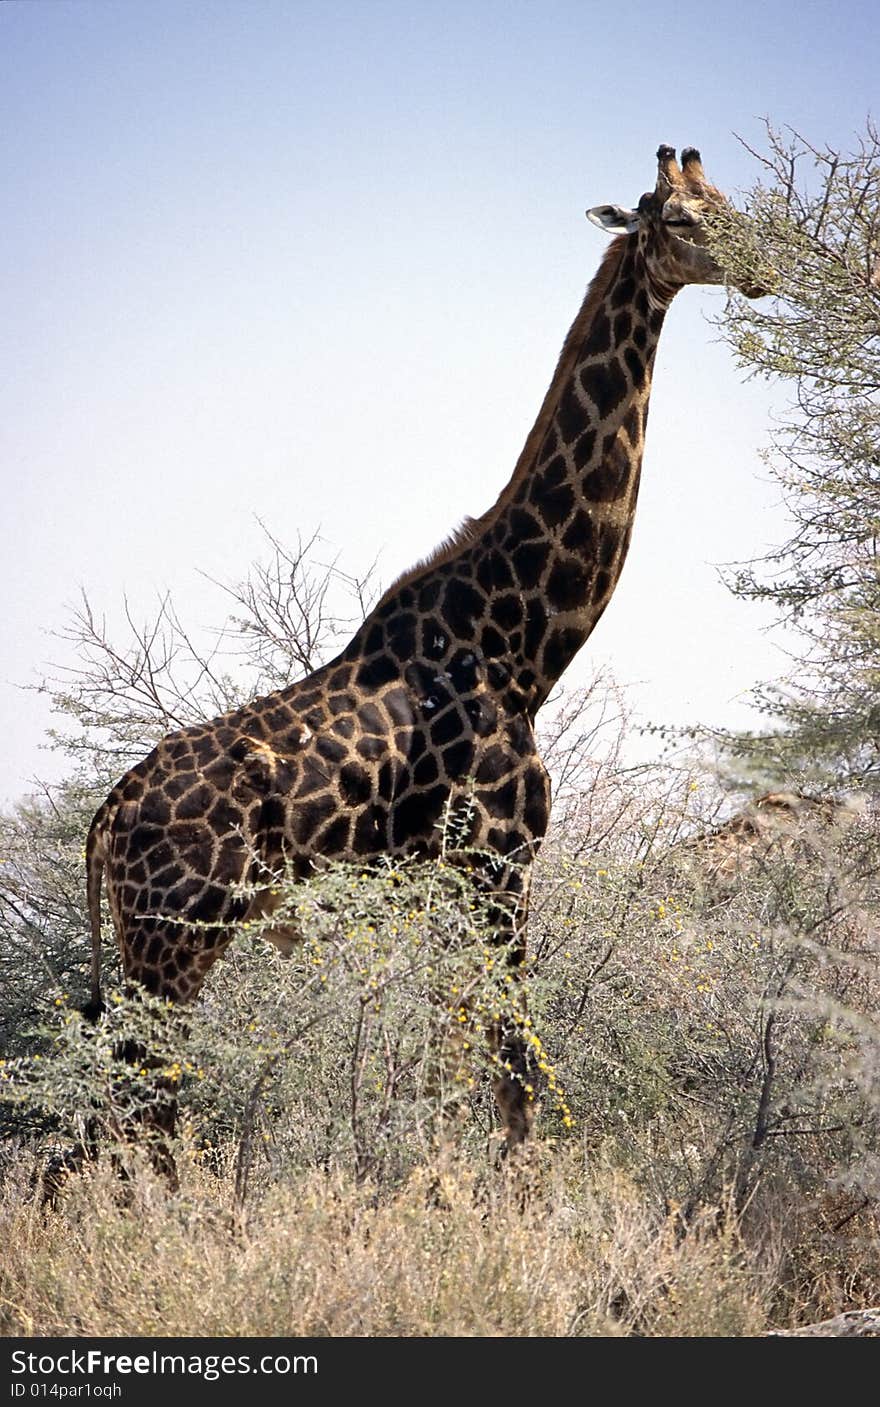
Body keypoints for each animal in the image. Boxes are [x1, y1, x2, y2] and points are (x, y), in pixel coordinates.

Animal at [77, 142, 760, 1176]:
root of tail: (109, 813)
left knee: (118, 1103)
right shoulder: (500, 861)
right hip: (174, 933)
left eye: (728, 201)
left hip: (156, 939)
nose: (763, 267)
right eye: (679, 219)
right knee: (131, 1102)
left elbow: (460, 1062)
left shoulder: (448, 886)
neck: (527, 646)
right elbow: (514, 1077)